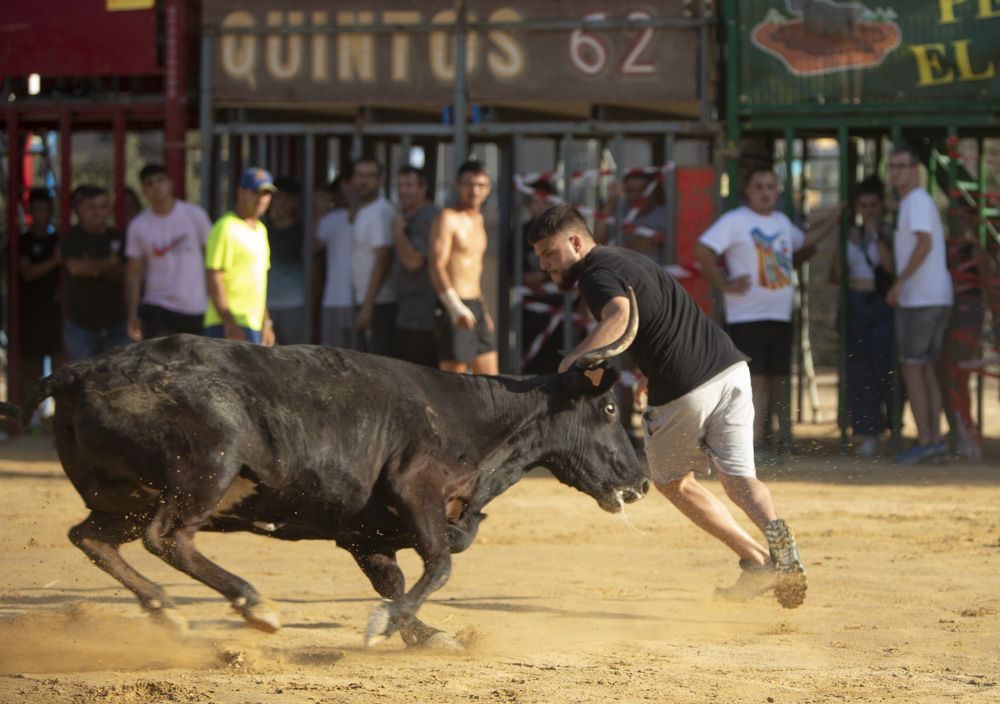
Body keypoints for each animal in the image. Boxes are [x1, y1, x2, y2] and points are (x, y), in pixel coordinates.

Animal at [3, 330, 648, 648]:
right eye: (611, 407)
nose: (641, 481)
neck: (481, 423)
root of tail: (79, 372)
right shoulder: (417, 490)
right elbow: (441, 565)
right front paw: (386, 627)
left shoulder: (367, 537)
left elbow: (399, 582)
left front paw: (427, 635)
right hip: (205, 470)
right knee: (168, 537)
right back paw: (254, 605)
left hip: (122, 498)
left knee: (91, 537)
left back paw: (166, 611)